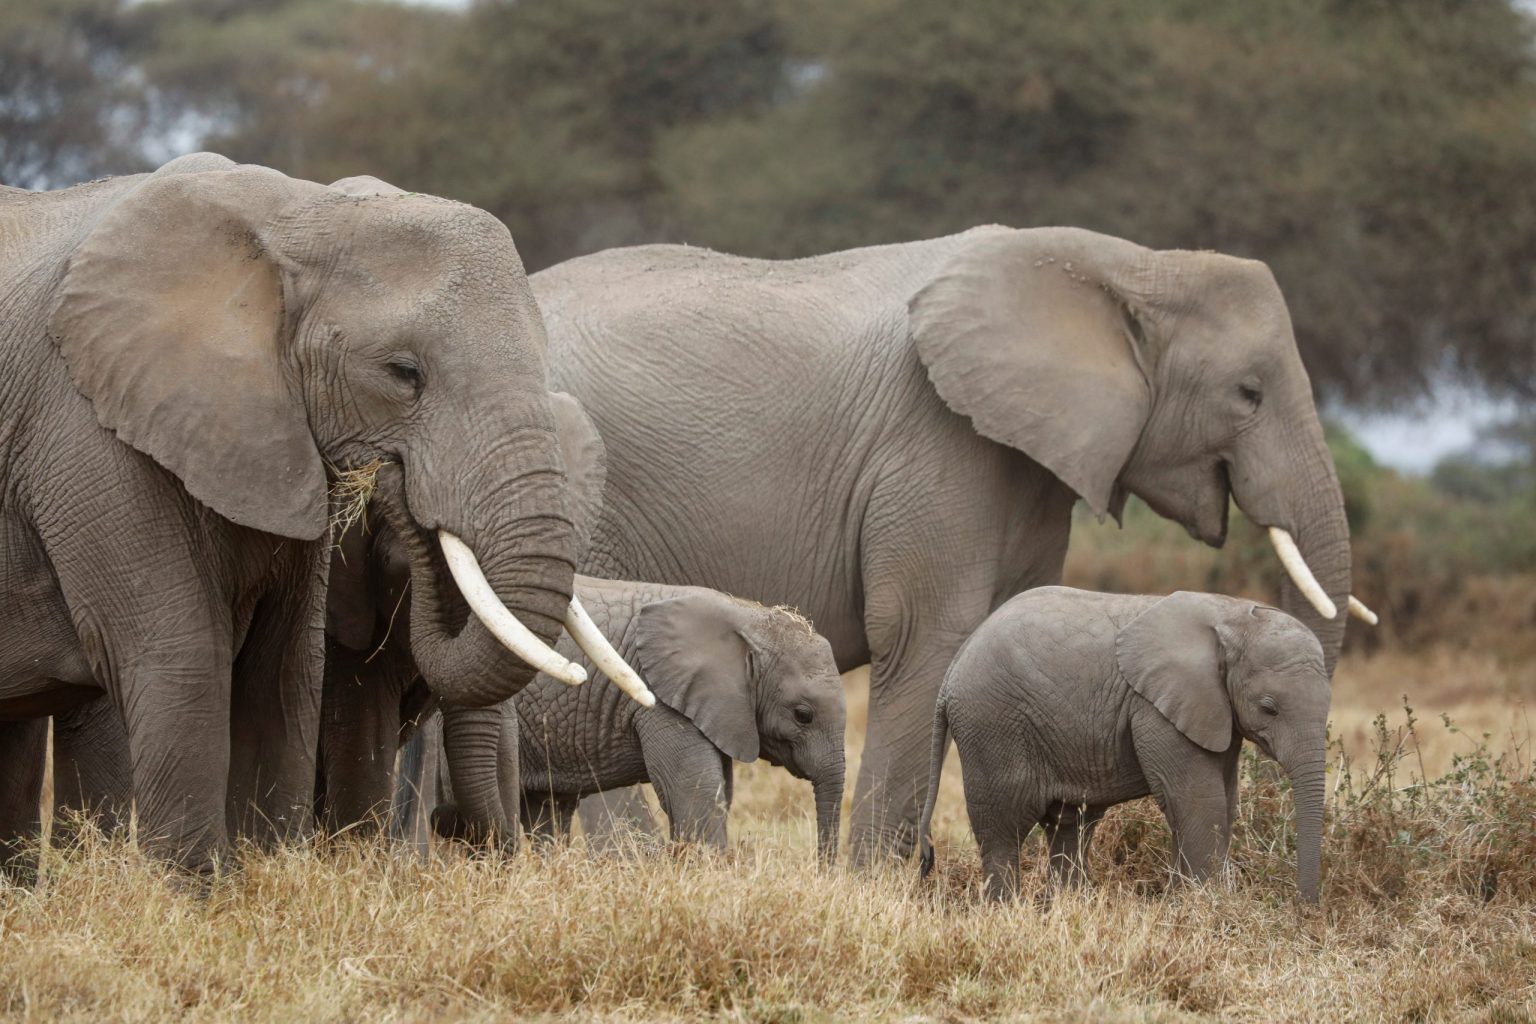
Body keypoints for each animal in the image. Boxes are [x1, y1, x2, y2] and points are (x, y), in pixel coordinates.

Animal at [0, 156, 635, 878]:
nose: (394, 482)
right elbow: (181, 658)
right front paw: (192, 896)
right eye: (404, 372)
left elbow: (283, 672)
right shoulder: (87, 431)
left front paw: (270, 877)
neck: (299, 219)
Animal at [921, 589, 1333, 902]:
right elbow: (1199, 800)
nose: (1304, 907)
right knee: (1003, 828)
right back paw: (1006, 909)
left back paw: (1070, 905)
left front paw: (1184, 902)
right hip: (991, 725)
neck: (1230, 613)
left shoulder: (1215, 712)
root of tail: (951, 671)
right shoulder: (1155, 710)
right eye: (1269, 707)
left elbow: (1225, 800)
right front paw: (1204, 907)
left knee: (1071, 825)